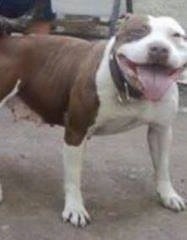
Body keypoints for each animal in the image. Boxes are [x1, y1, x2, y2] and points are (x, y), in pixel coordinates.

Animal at [0, 13, 187, 227]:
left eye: (176, 36)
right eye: (137, 32)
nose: (159, 49)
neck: (131, 91)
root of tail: (7, 41)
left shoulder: (161, 130)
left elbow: (163, 166)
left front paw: (168, 195)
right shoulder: (76, 131)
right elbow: (73, 176)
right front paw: (75, 208)